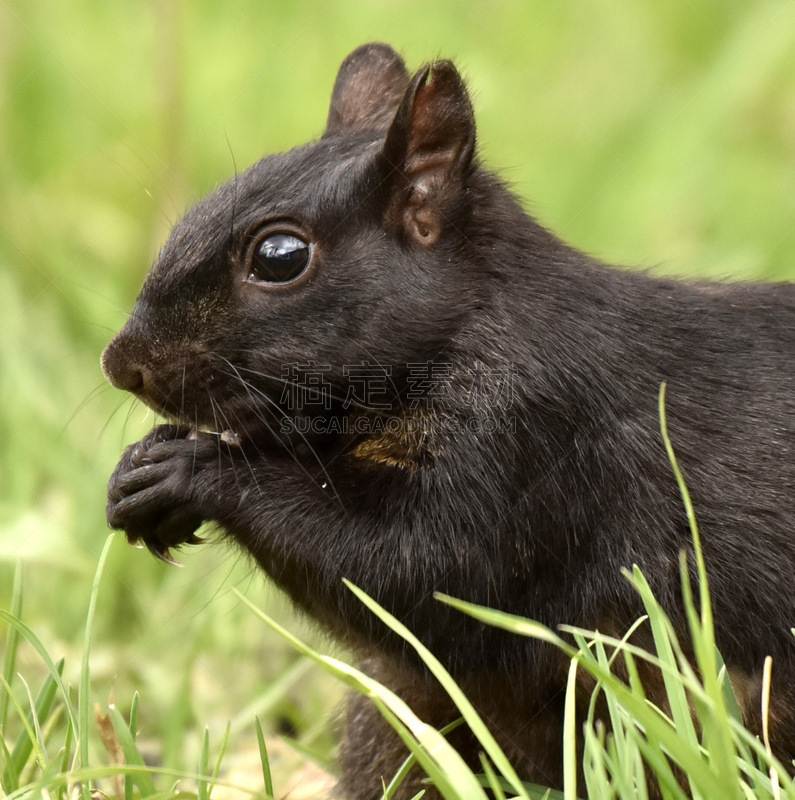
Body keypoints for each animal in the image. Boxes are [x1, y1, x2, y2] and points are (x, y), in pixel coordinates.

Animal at [102, 45, 795, 800]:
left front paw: (191, 470)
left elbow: (421, 571)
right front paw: (136, 472)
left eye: (279, 256)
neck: (468, 330)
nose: (122, 364)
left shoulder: (533, 440)